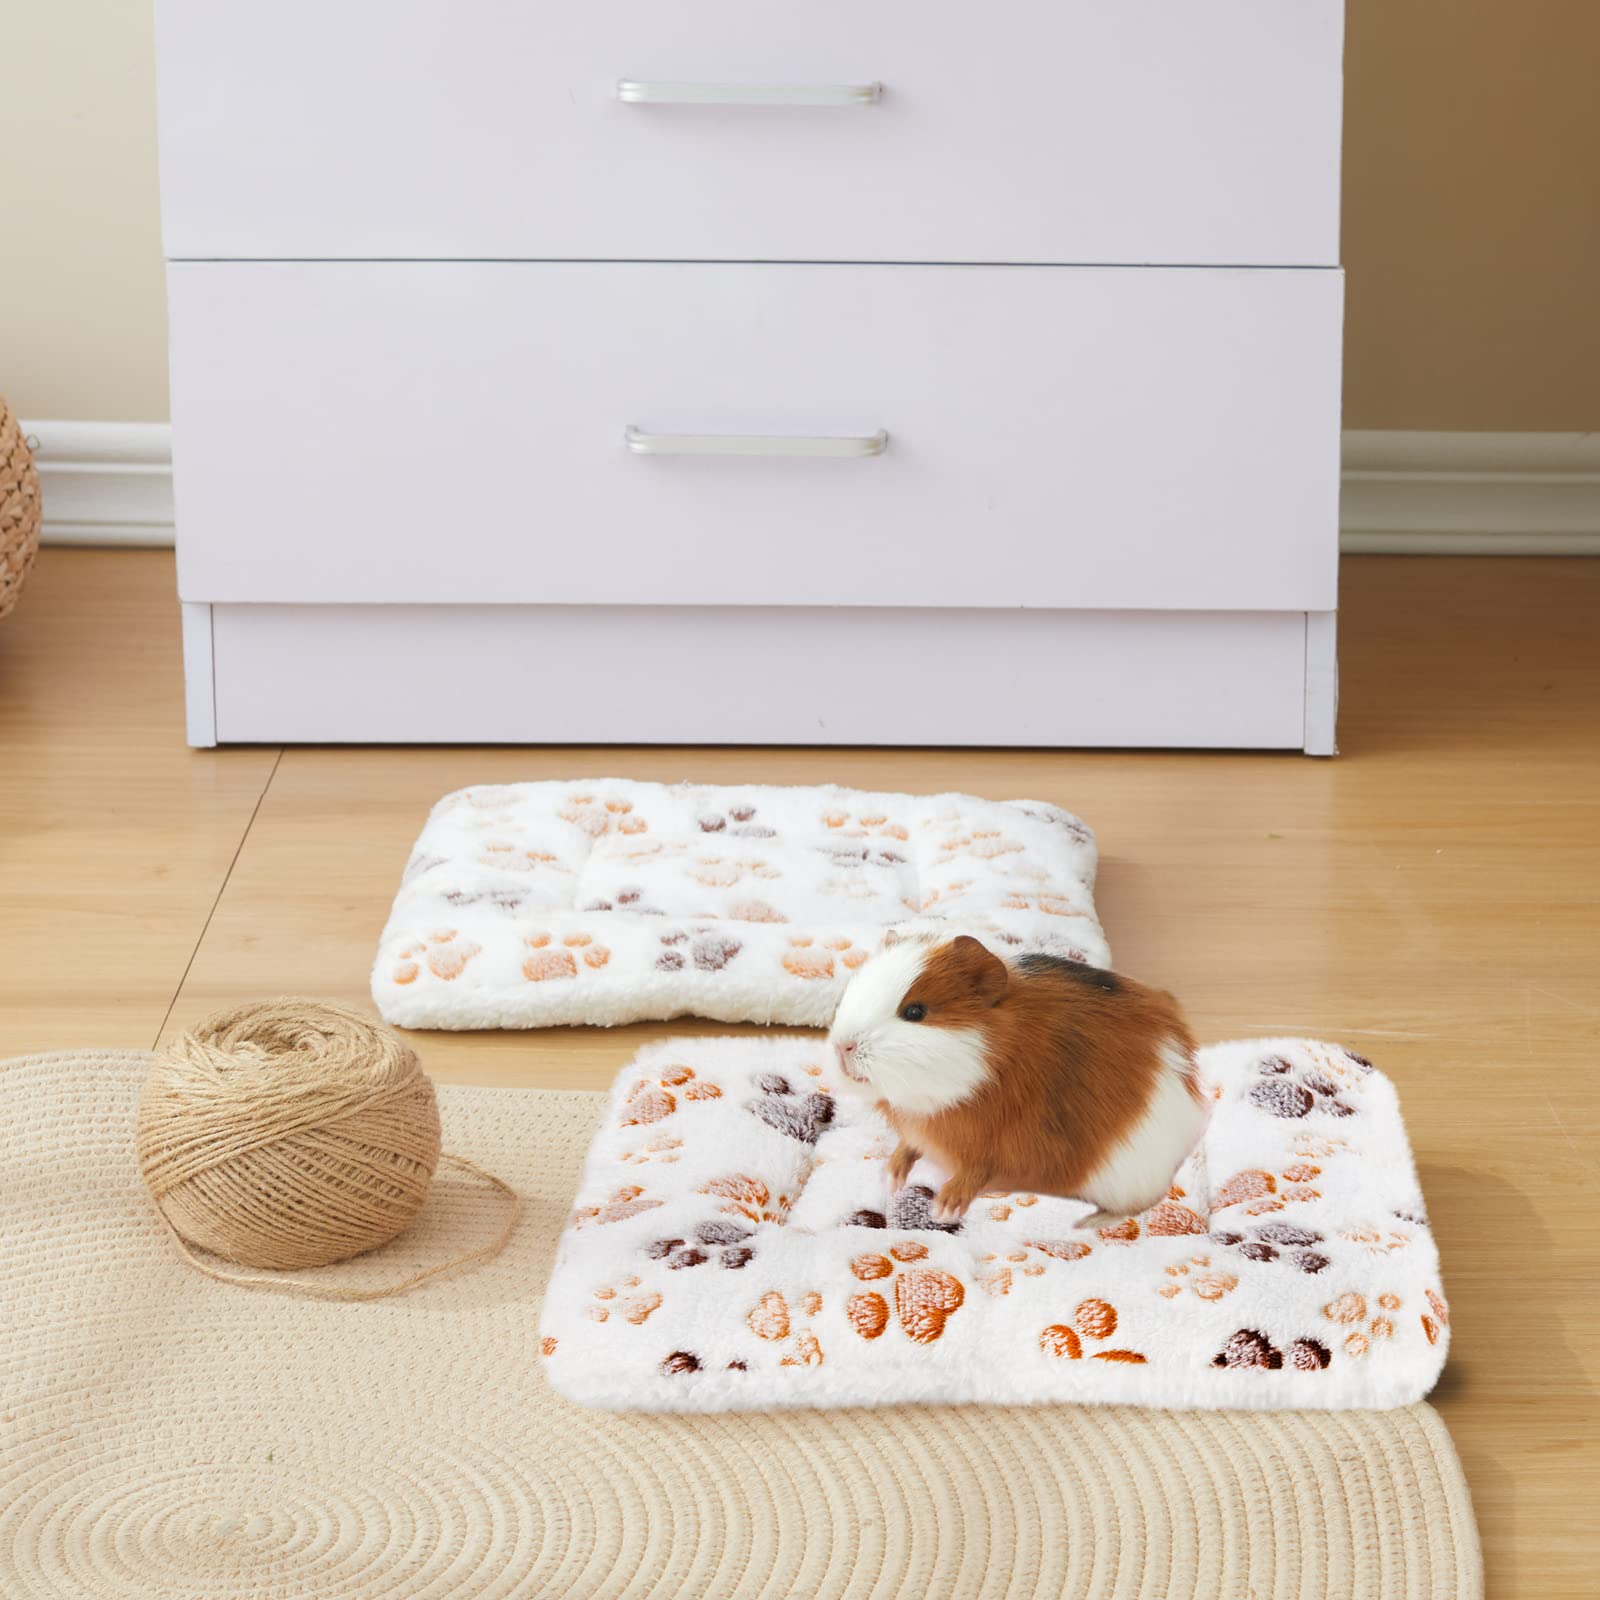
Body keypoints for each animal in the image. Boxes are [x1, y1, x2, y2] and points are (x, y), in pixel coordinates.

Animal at [827, 933, 1209, 1227]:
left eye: (915, 1011)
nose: (842, 1046)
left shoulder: (995, 1152)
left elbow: (972, 1175)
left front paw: (943, 1210)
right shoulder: (915, 1131)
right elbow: (906, 1148)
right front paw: (890, 1180)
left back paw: (1088, 1223)